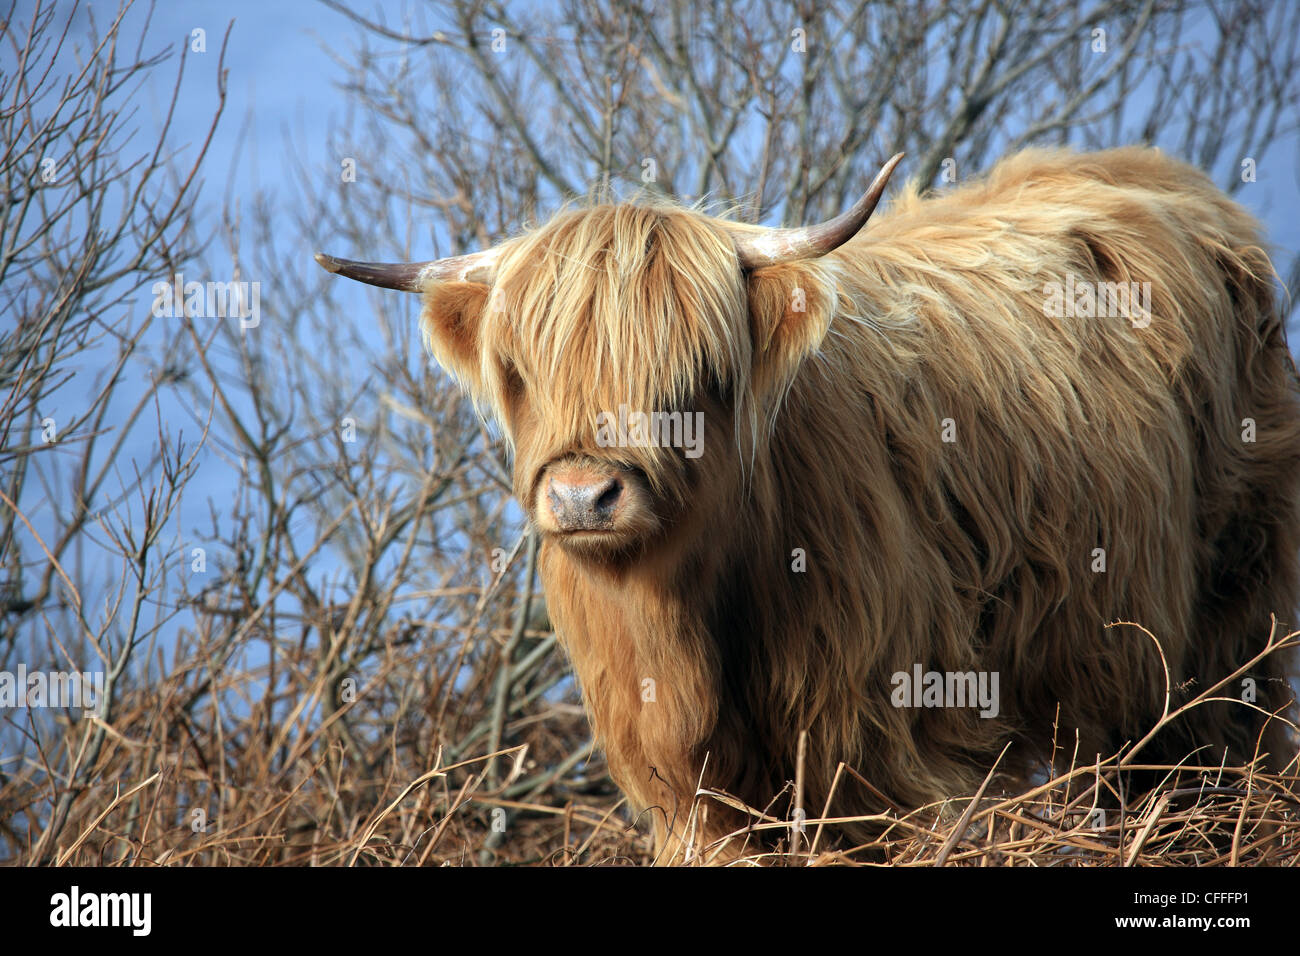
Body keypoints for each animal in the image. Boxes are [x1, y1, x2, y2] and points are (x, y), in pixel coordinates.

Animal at [317, 146, 1300, 861]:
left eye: (696, 373)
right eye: (519, 374)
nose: (583, 494)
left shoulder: (879, 759)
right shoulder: (693, 793)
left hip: (1225, 629)